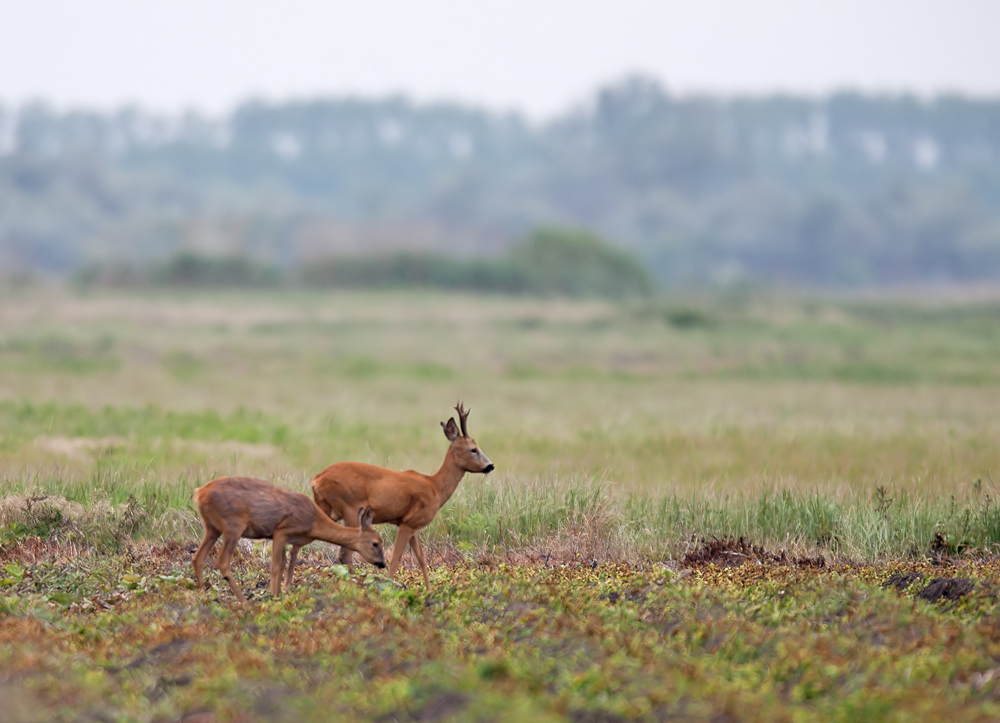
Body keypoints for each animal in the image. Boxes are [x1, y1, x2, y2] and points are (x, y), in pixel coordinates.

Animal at [192, 478, 386, 604]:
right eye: (376, 543)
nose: (382, 563)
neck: (314, 522)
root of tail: (199, 493)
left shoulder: (292, 540)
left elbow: (285, 563)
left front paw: (279, 593)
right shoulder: (281, 531)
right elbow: (276, 566)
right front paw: (274, 596)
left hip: (212, 528)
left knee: (197, 558)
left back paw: (203, 594)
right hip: (233, 525)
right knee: (222, 561)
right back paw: (245, 603)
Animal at [306, 402, 490, 588]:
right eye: (473, 450)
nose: (490, 465)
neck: (436, 487)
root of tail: (317, 480)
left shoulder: (412, 524)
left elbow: (421, 559)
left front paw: (430, 590)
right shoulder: (409, 523)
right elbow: (396, 558)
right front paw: (390, 585)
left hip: (327, 508)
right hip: (351, 509)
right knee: (345, 554)